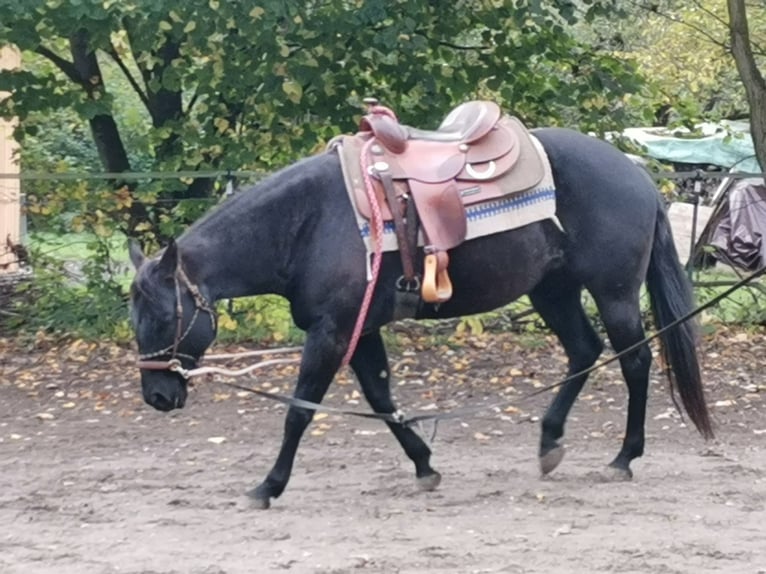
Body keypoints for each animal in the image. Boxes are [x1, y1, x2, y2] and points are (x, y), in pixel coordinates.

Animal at [130, 128, 712, 510]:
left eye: (161, 316)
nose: (157, 396)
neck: (308, 223)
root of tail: (636, 174)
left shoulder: (331, 331)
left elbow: (300, 411)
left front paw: (268, 486)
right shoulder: (359, 329)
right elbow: (382, 399)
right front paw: (425, 465)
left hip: (614, 293)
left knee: (635, 362)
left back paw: (623, 458)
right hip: (554, 290)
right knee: (584, 351)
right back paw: (549, 443)